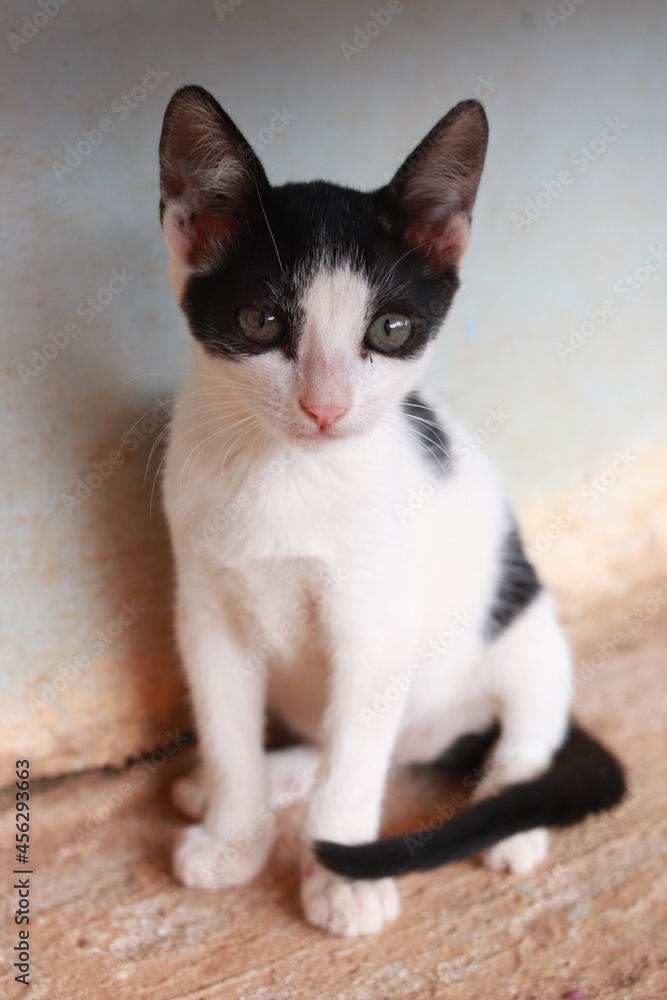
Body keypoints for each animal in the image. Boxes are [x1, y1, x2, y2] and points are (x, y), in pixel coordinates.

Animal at [158, 86, 628, 936]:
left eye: (390, 329)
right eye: (258, 322)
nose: (325, 406)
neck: (289, 476)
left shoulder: (374, 623)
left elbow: (355, 765)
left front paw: (339, 877)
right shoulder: (205, 611)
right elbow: (229, 731)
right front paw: (233, 833)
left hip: (524, 631)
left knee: (515, 738)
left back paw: (509, 820)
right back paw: (249, 781)